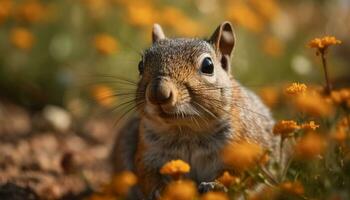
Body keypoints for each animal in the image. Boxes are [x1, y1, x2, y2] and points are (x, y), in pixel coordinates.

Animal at [110, 21, 280, 199]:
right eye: (140, 65)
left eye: (208, 66)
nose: (158, 93)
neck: (186, 130)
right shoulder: (148, 154)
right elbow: (147, 175)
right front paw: (163, 190)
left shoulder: (243, 146)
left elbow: (237, 175)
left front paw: (215, 186)